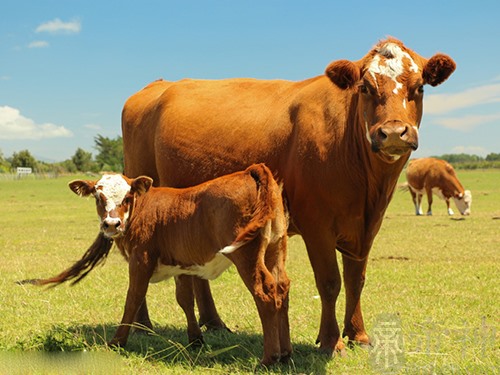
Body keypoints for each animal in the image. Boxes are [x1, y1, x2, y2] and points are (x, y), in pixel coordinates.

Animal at [122, 37, 458, 356]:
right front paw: (331, 341)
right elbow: (329, 281)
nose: (393, 133)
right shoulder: (317, 225)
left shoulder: (366, 227)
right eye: (365, 87)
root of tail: (157, 86)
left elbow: (356, 280)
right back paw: (141, 326)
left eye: (419, 87)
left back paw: (213, 322)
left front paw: (358, 335)